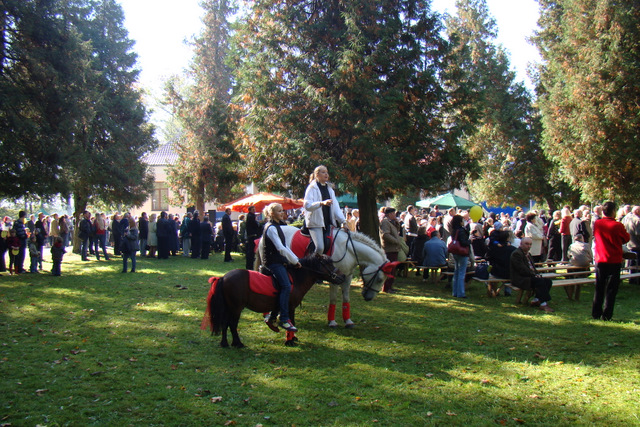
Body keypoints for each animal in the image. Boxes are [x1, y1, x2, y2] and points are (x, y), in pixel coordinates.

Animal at [201, 254, 346, 348]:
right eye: (329, 264)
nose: (343, 276)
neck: (296, 279)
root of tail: (223, 277)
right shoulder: (290, 307)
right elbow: (291, 322)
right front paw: (290, 340)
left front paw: (291, 337)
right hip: (236, 308)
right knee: (232, 324)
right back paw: (238, 343)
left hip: (229, 307)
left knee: (225, 323)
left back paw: (225, 343)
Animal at [256, 226, 397, 328]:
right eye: (380, 279)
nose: (369, 298)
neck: (349, 250)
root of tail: (264, 233)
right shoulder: (334, 279)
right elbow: (333, 299)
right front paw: (332, 322)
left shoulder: (347, 277)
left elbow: (346, 298)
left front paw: (348, 321)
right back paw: (268, 314)